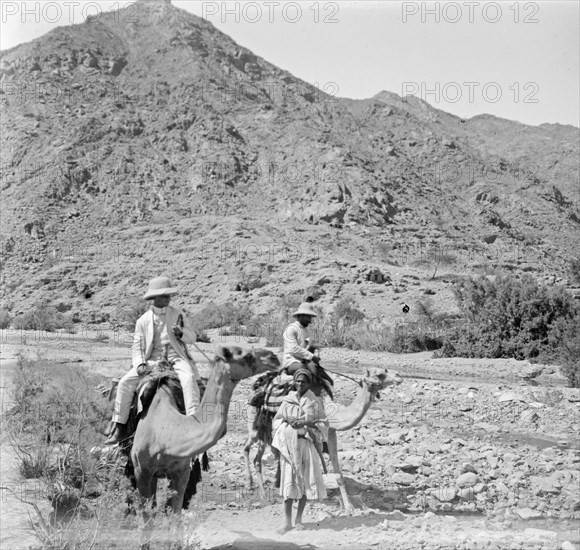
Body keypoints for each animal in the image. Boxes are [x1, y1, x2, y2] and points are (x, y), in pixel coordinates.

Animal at [130, 348, 280, 528]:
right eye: (246, 355)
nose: (274, 357)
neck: (165, 432)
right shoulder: (141, 471)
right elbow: (147, 522)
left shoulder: (181, 471)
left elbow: (175, 516)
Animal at [242, 368, 402, 516]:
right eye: (379, 374)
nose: (399, 376)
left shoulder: (330, 433)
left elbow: (338, 475)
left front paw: (349, 506)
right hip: (256, 427)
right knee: (248, 449)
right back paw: (256, 488)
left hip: (265, 433)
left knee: (263, 456)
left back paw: (270, 486)